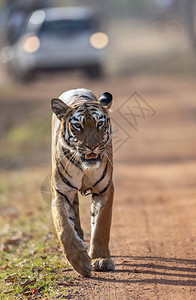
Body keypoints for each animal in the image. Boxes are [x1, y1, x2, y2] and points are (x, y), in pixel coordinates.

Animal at [50, 88, 115, 276]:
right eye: (77, 125)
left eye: (99, 123)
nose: (92, 147)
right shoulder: (60, 193)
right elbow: (63, 227)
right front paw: (80, 262)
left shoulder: (104, 189)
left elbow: (101, 226)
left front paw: (101, 259)